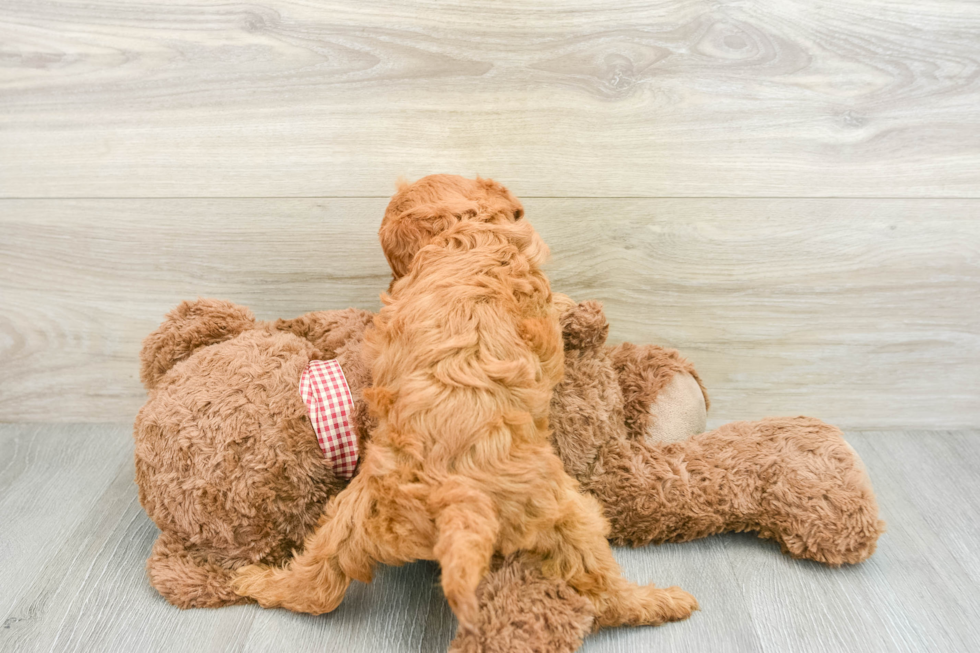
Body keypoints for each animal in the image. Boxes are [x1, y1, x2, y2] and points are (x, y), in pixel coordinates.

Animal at [234, 176, 700, 628]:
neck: (465, 231)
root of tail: (455, 503)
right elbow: (558, 312)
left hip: (354, 514)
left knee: (317, 587)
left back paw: (255, 580)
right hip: (567, 512)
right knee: (602, 592)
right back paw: (662, 602)